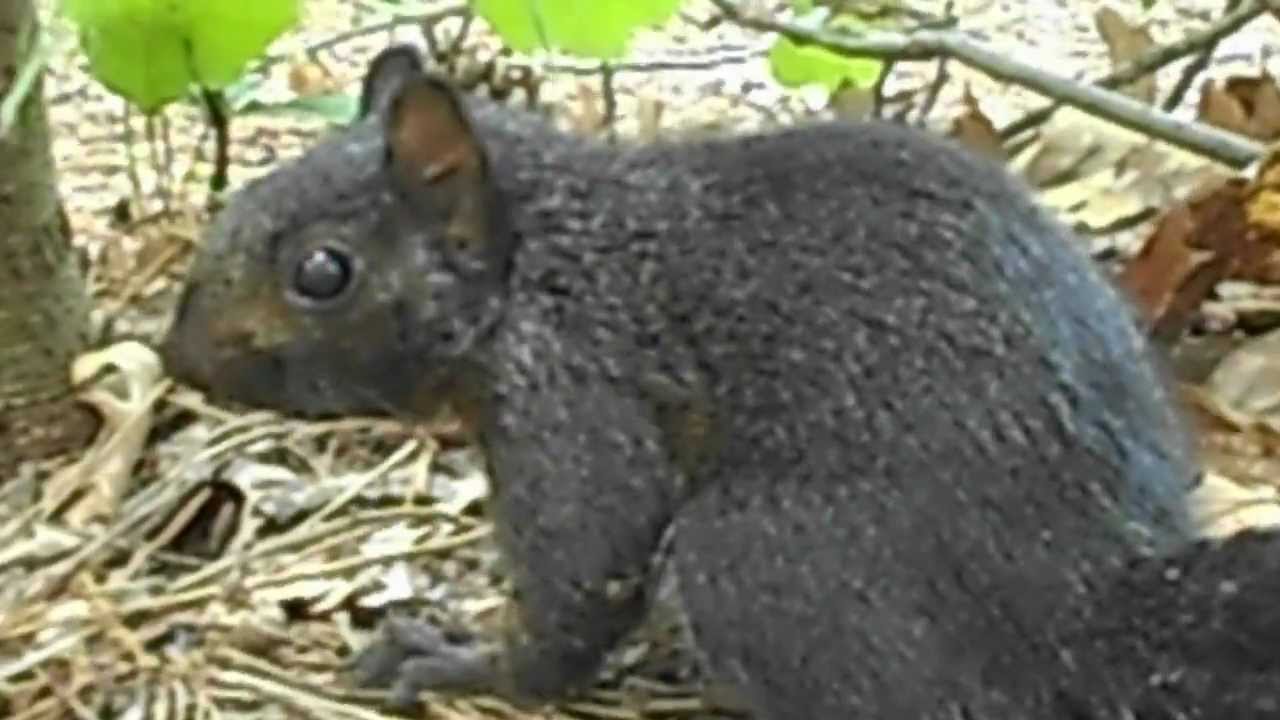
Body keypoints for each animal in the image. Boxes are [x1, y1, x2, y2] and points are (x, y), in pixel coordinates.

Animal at [160, 44, 1280, 718]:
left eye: (323, 272)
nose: (178, 357)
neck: (540, 263)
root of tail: (1080, 604)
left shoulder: (574, 388)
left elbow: (583, 570)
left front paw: (457, 660)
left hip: (759, 556)